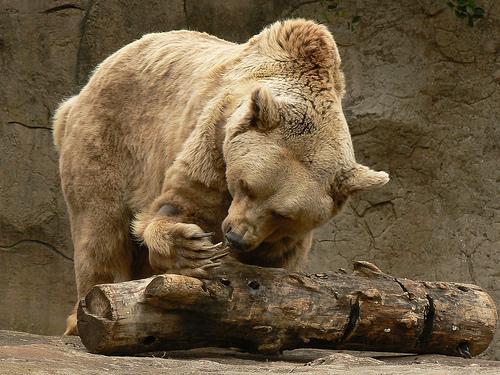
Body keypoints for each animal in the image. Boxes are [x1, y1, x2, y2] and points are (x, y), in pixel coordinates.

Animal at [54, 19, 390, 336]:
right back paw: (83, 314)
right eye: (246, 185)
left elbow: (278, 260)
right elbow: (183, 205)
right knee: (99, 230)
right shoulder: (213, 138)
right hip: (109, 141)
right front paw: (193, 248)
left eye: (282, 214)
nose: (235, 236)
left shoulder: (283, 232)